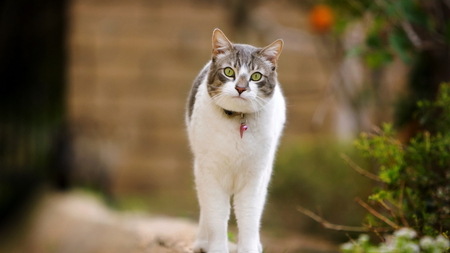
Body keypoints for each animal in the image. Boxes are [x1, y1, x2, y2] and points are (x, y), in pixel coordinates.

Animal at [185, 28, 284, 252]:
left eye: (256, 76)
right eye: (229, 72)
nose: (240, 88)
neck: (238, 118)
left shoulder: (254, 178)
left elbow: (249, 217)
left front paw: (249, 248)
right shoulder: (210, 174)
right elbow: (216, 217)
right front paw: (216, 248)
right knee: (204, 209)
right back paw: (201, 243)